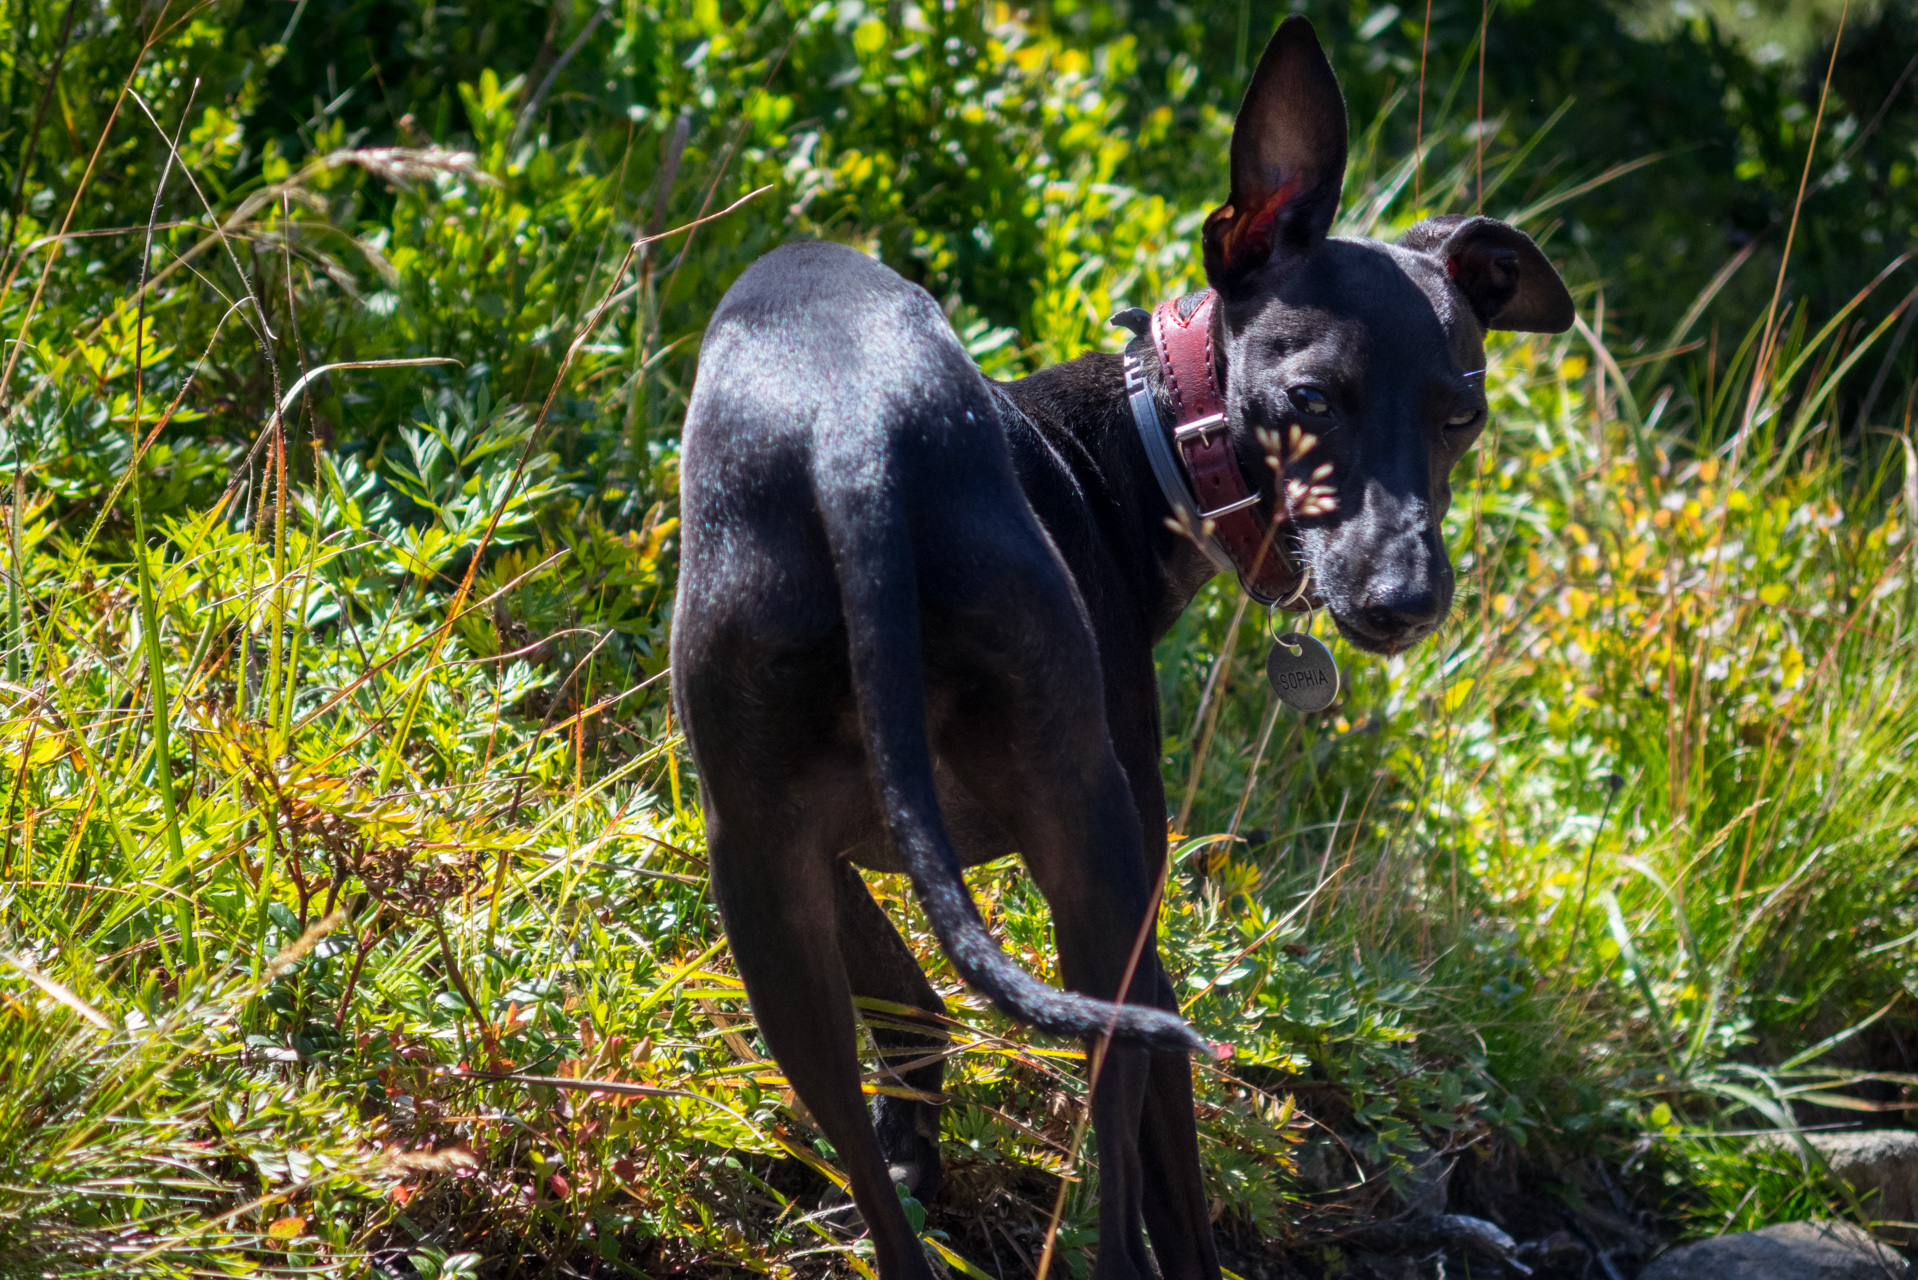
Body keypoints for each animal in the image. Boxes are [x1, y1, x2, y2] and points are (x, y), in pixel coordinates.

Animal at [675, 17, 1572, 1280]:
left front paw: (913, 1148)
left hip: (762, 882)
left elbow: (913, 1009)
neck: (1136, 449)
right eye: (1313, 397)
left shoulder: (800, 845)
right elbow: (1172, 1181)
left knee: (862, 1122)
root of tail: (857, 439)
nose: (1405, 598)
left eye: (1462, 414)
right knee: (1120, 1142)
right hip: (1100, 873)